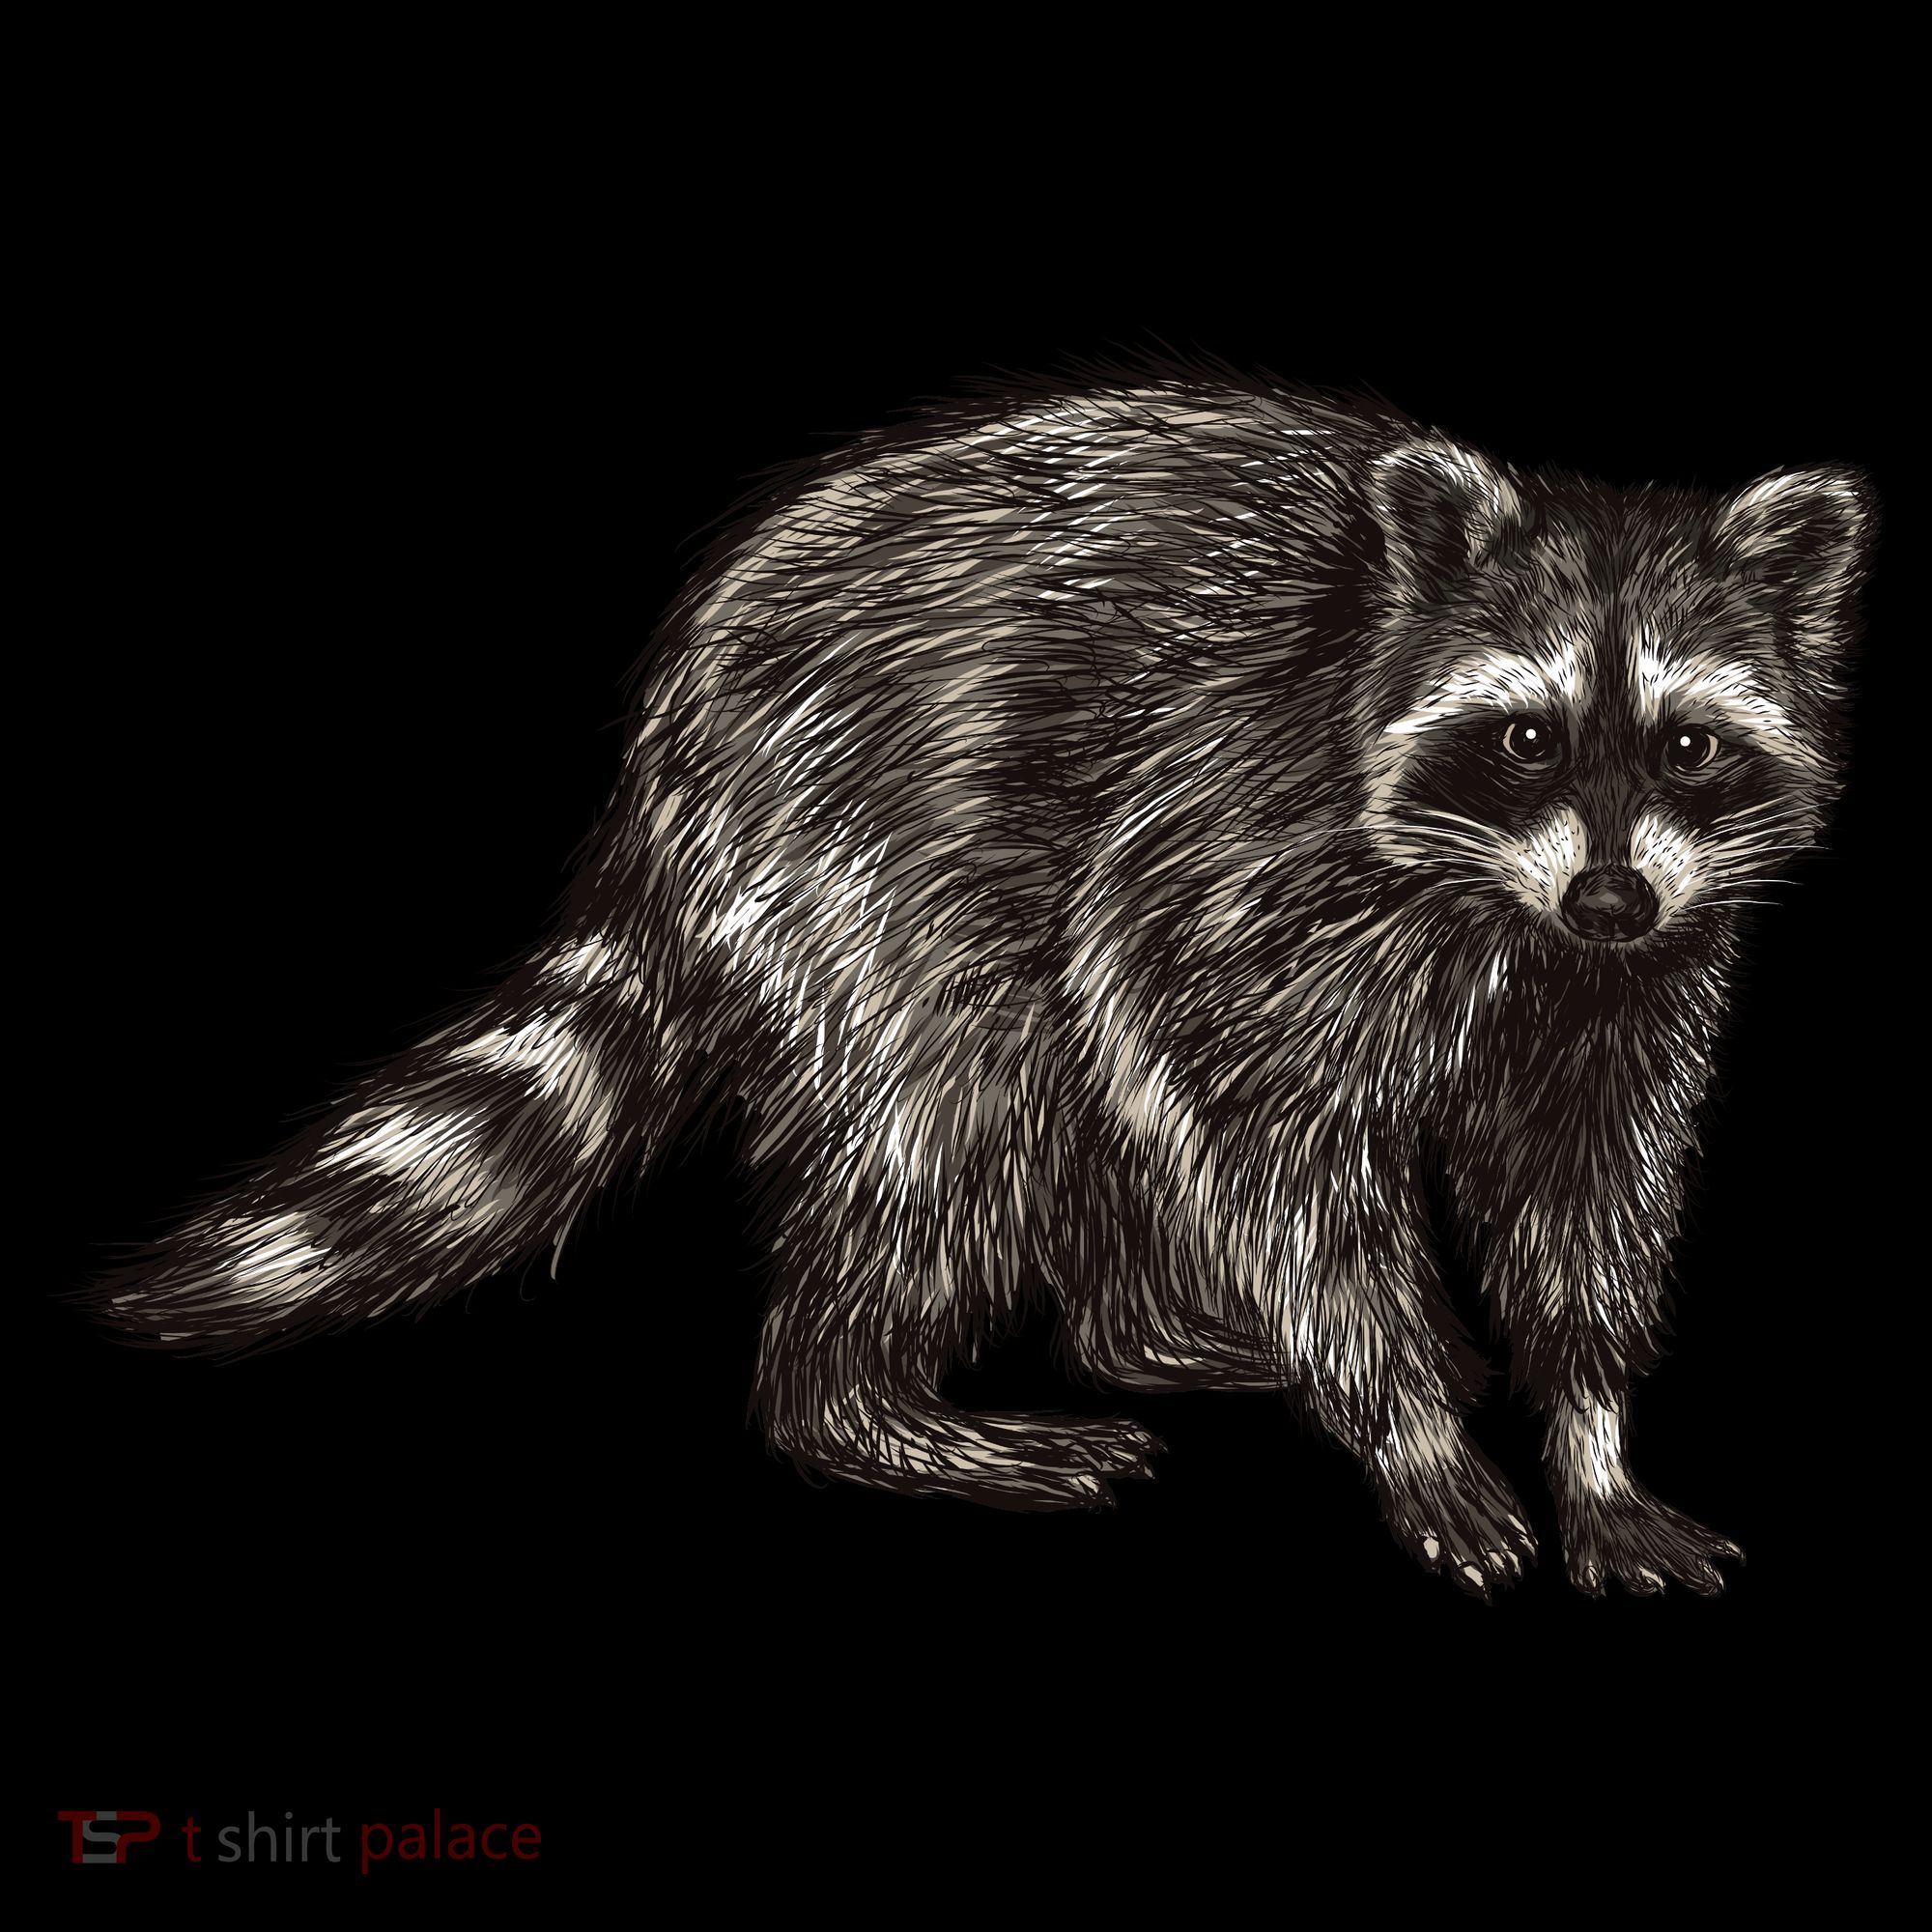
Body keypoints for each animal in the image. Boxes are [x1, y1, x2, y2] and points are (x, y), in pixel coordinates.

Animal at [84, 359, 1873, 1598]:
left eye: (1691, 746)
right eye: (1523, 738)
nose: (1610, 890)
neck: (1510, 907)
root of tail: (668, 732)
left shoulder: (1640, 978)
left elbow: (1585, 1184)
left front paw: (1590, 1433)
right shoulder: (1246, 842)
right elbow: (1253, 1119)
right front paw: (1416, 1410)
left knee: (1079, 1089)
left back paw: (1141, 1325)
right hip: (861, 836)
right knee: (960, 1113)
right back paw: (865, 1399)